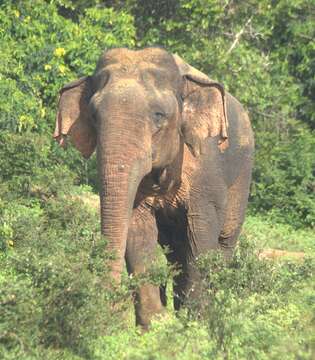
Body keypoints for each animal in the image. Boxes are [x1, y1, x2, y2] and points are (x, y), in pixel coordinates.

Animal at [53, 47, 254, 330]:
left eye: (158, 115)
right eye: (93, 116)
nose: (109, 311)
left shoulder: (208, 170)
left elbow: (201, 237)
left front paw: (195, 327)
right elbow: (139, 231)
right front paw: (155, 326)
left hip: (242, 178)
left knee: (223, 242)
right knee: (176, 250)